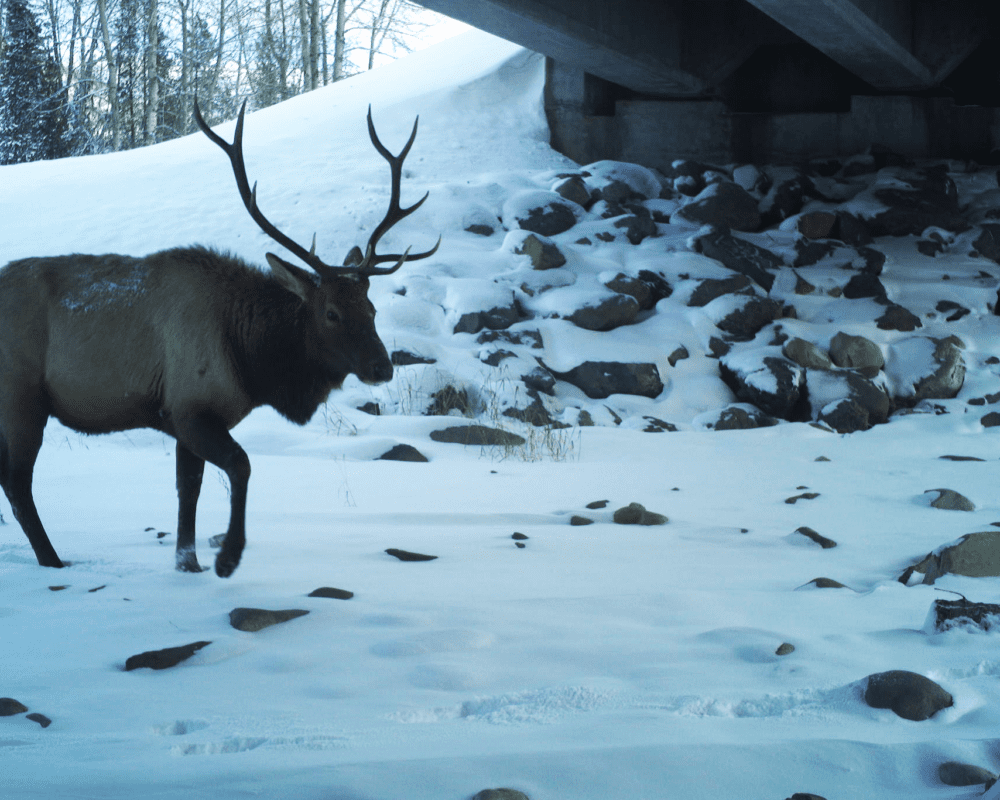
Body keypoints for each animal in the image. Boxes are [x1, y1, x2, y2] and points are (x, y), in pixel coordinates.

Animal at [0, 101, 438, 577]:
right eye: (332, 313)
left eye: (372, 309)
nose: (382, 367)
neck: (252, 361)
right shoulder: (190, 408)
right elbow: (239, 466)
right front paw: (227, 557)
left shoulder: (182, 418)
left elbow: (188, 489)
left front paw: (188, 562)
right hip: (21, 397)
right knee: (17, 481)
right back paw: (52, 560)